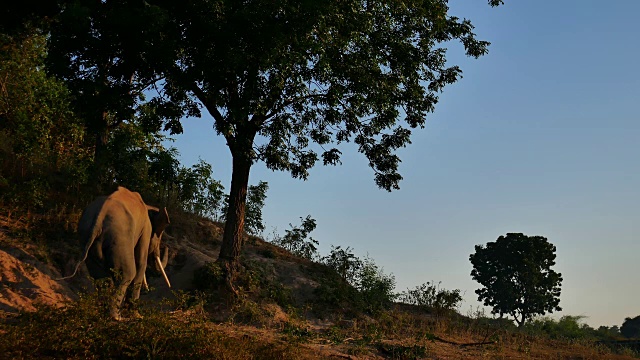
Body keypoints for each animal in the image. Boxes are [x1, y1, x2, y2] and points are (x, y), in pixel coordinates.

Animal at [74, 187, 172, 320]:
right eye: (159, 235)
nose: (166, 246)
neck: (149, 206)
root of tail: (98, 219)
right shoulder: (146, 228)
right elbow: (141, 261)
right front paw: (138, 316)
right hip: (120, 237)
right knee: (127, 273)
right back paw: (117, 318)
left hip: (87, 237)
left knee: (100, 277)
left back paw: (104, 314)